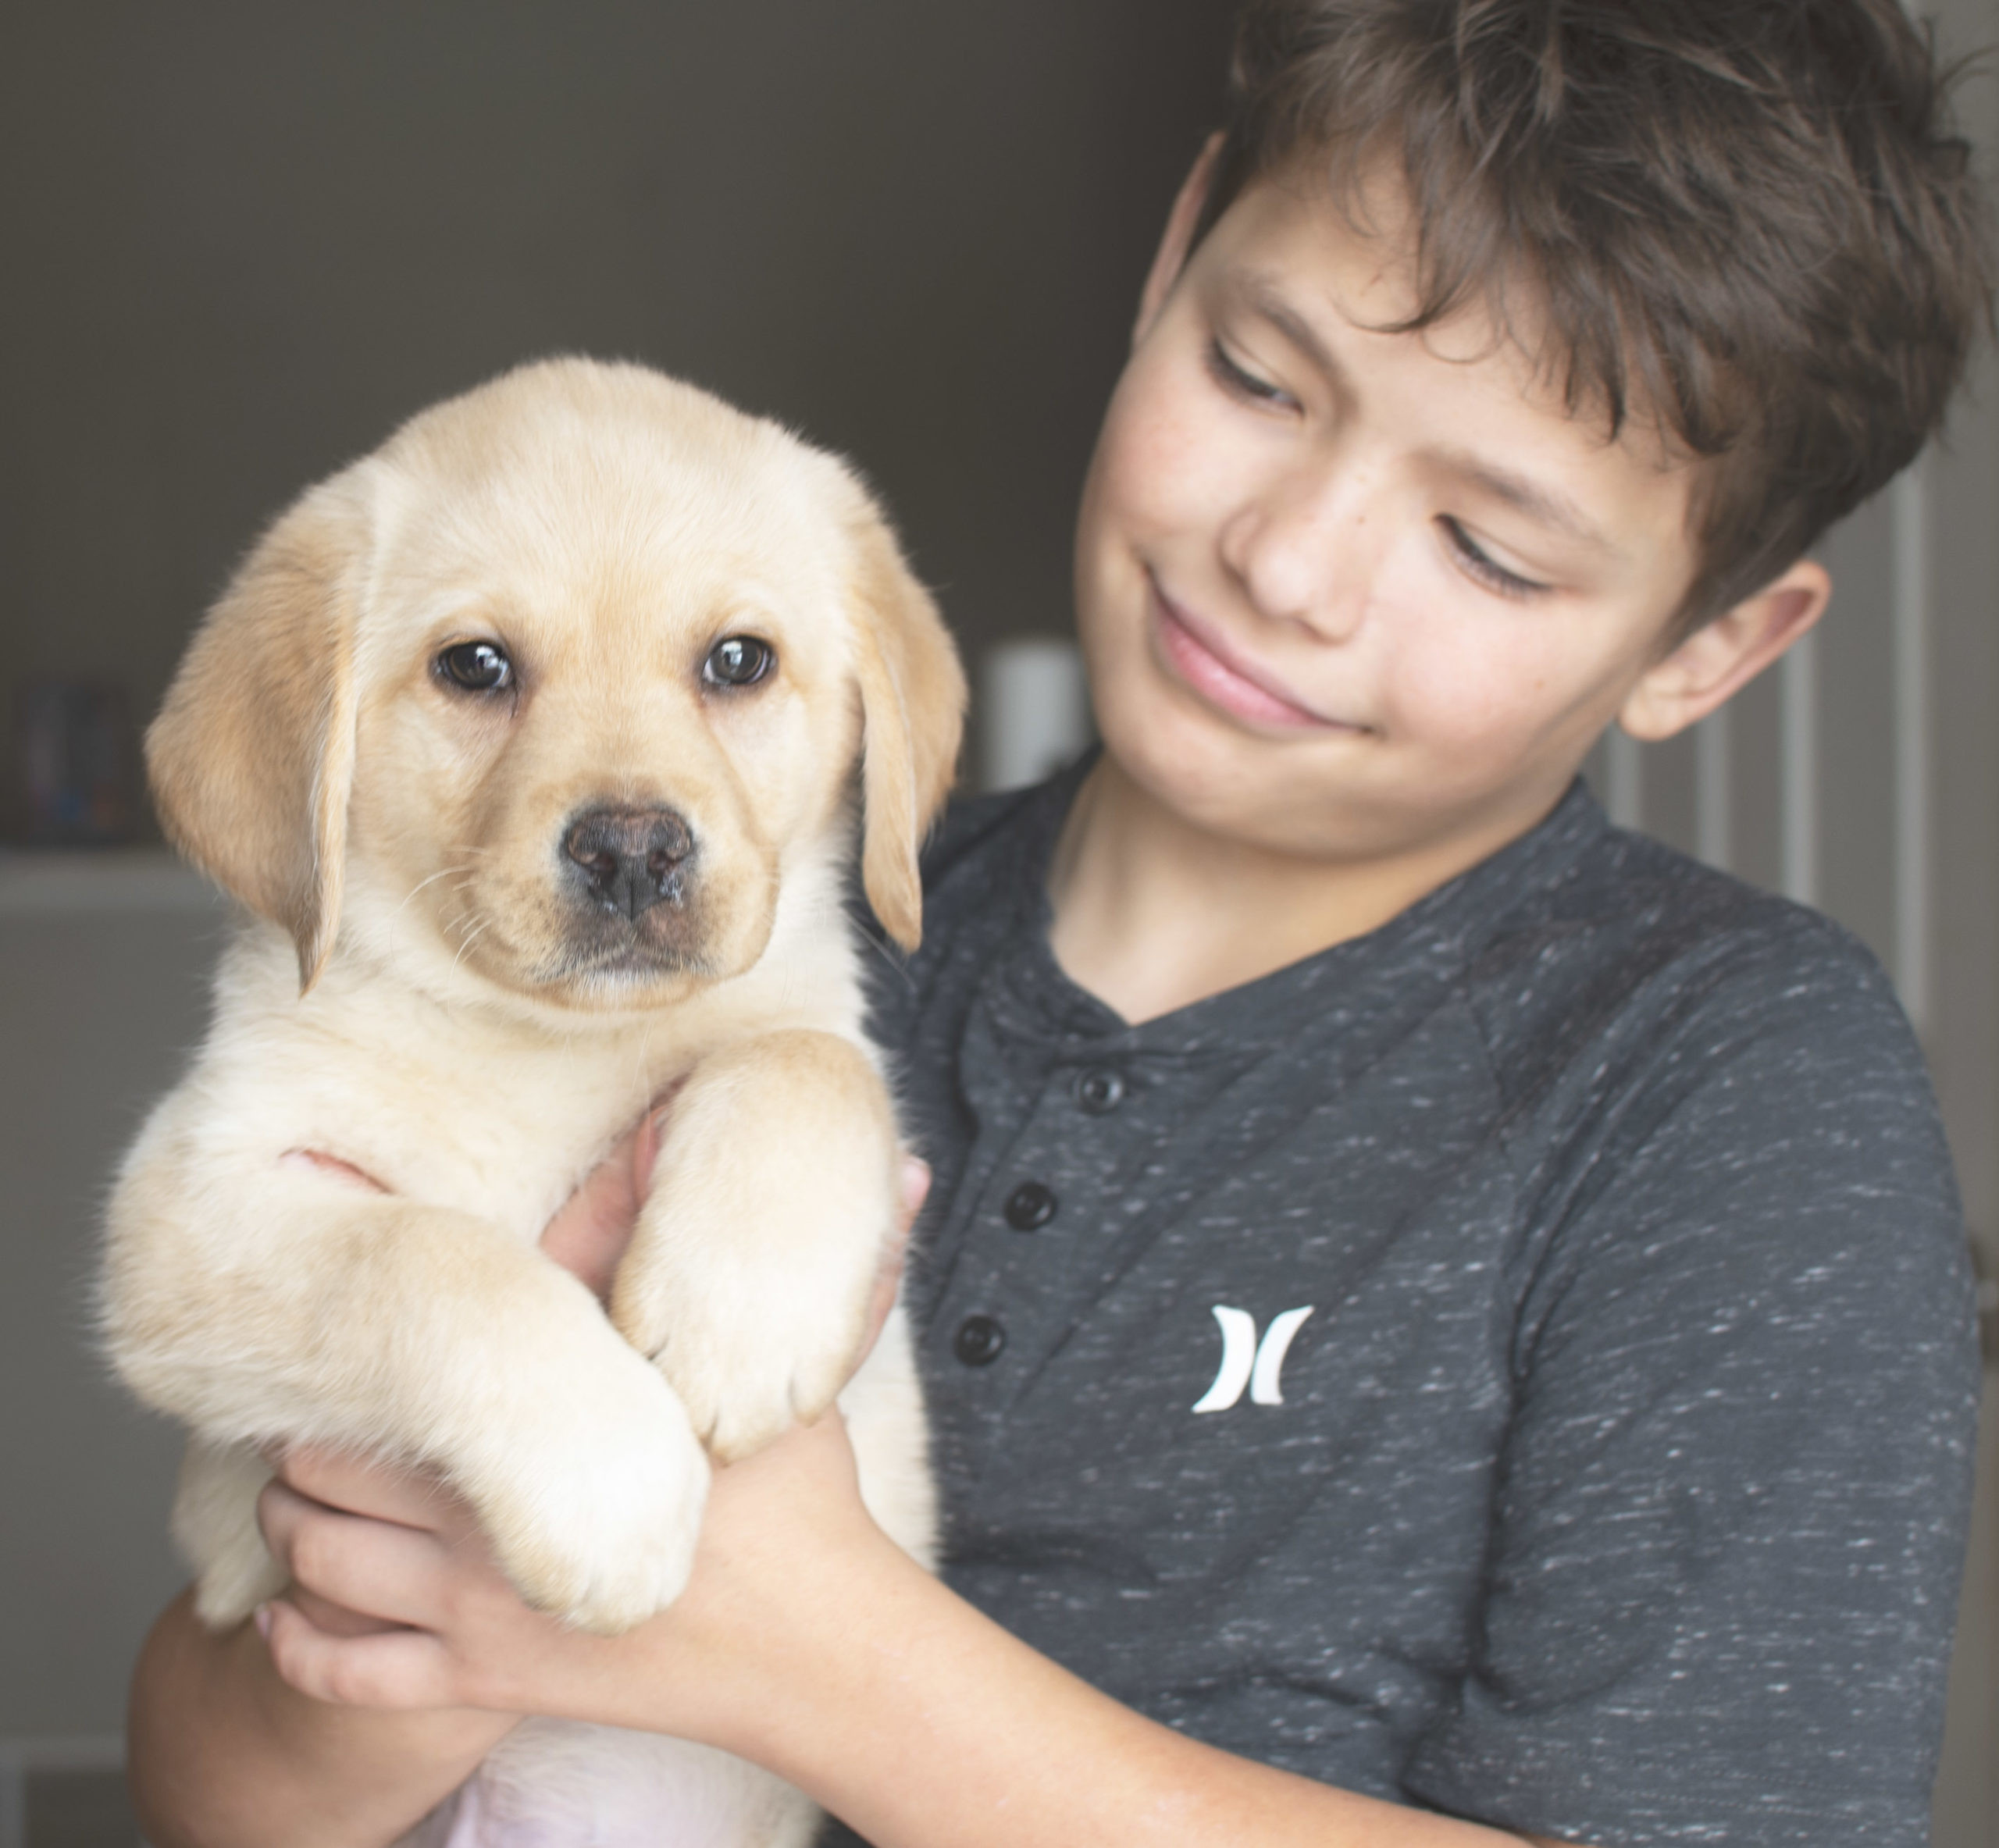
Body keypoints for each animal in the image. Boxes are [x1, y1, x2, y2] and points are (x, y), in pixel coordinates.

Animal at [105, 353, 963, 1838]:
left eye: (738, 661)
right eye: (477, 667)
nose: (631, 849)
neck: (542, 1042)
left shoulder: (811, 1023)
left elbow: (804, 1061)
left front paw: (736, 1320)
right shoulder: (180, 1218)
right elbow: (430, 1259)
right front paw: (611, 1487)